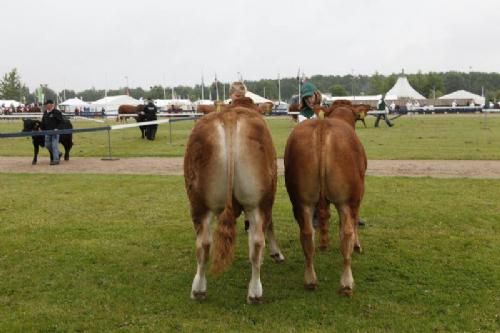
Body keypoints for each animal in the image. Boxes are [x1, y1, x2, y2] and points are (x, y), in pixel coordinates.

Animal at [185, 101, 286, 304]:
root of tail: (229, 116)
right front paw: (276, 253)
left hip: (201, 203)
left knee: (204, 244)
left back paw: (199, 289)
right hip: (258, 202)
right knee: (256, 241)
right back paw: (254, 292)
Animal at [286, 105, 368, 294]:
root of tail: (322, 127)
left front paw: (324, 243)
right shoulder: (358, 196)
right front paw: (357, 245)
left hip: (301, 200)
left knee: (307, 233)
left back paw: (310, 279)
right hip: (348, 199)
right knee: (347, 232)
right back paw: (346, 282)